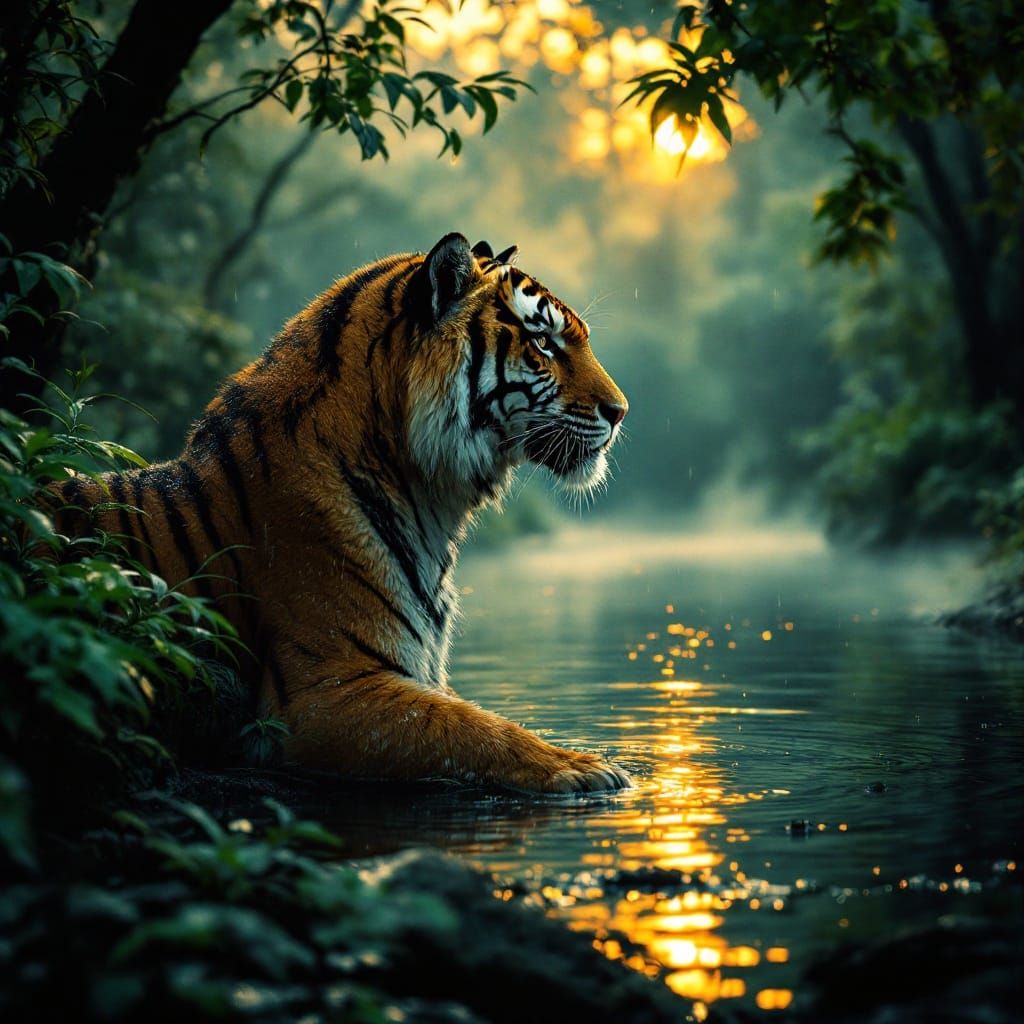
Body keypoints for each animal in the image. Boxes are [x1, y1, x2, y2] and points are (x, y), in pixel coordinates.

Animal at [52, 233, 630, 793]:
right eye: (543, 343)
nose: (621, 411)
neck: (425, 492)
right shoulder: (325, 692)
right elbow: (469, 726)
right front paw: (584, 767)